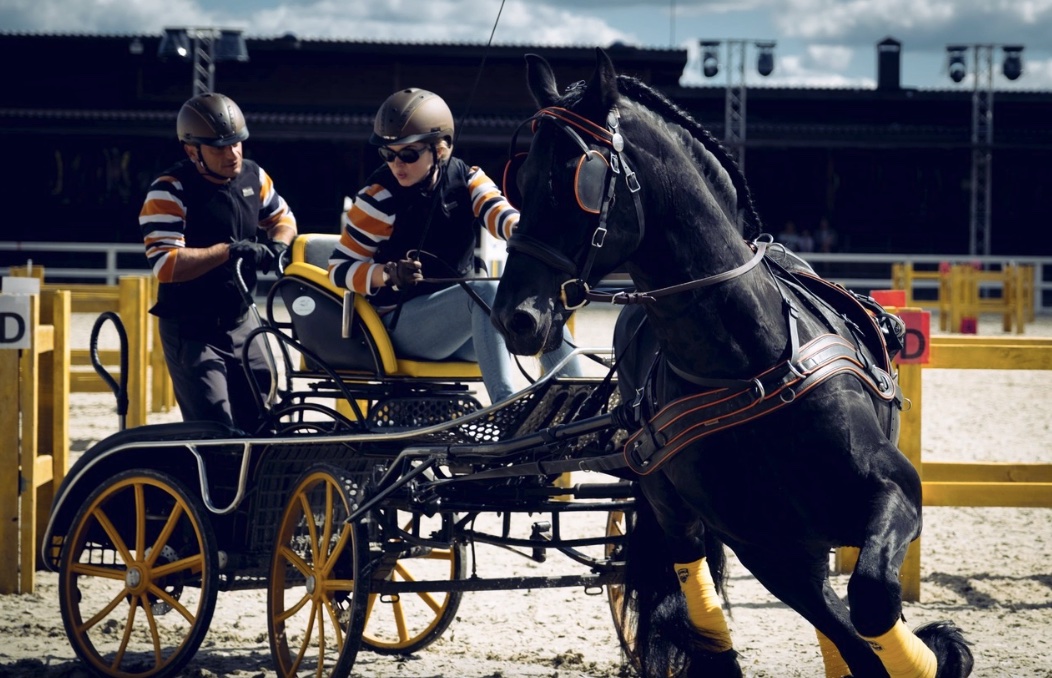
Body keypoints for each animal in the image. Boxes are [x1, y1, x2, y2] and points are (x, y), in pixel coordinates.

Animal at [488, 48, 972, 678]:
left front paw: (941, 651)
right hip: (677, 510)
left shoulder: (895, 489)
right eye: (519, 181)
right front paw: (937, 650)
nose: (514, 317)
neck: (749, 368)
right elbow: (854, 632)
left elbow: (869, 601)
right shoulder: (766, 546)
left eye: (576, 179)